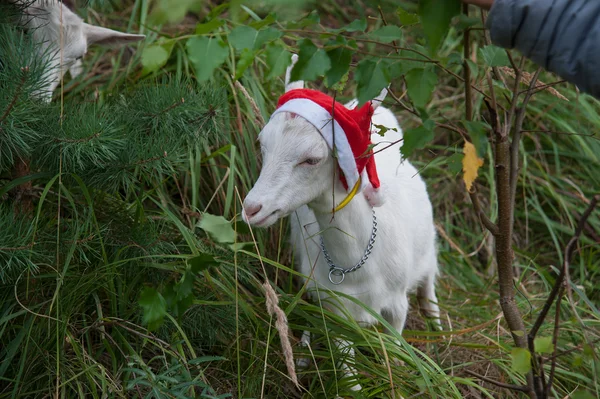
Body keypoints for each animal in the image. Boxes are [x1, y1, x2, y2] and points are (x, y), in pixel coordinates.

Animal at [243, 57, 440, 390]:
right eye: (261, 144)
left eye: (312, 159)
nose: (252, 208)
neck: (358, 264)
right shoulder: (338, 311)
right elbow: (348, 371)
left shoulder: (397, 305)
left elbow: (395, 349)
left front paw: (398, 375)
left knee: (429, 274)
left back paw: (436, 321)